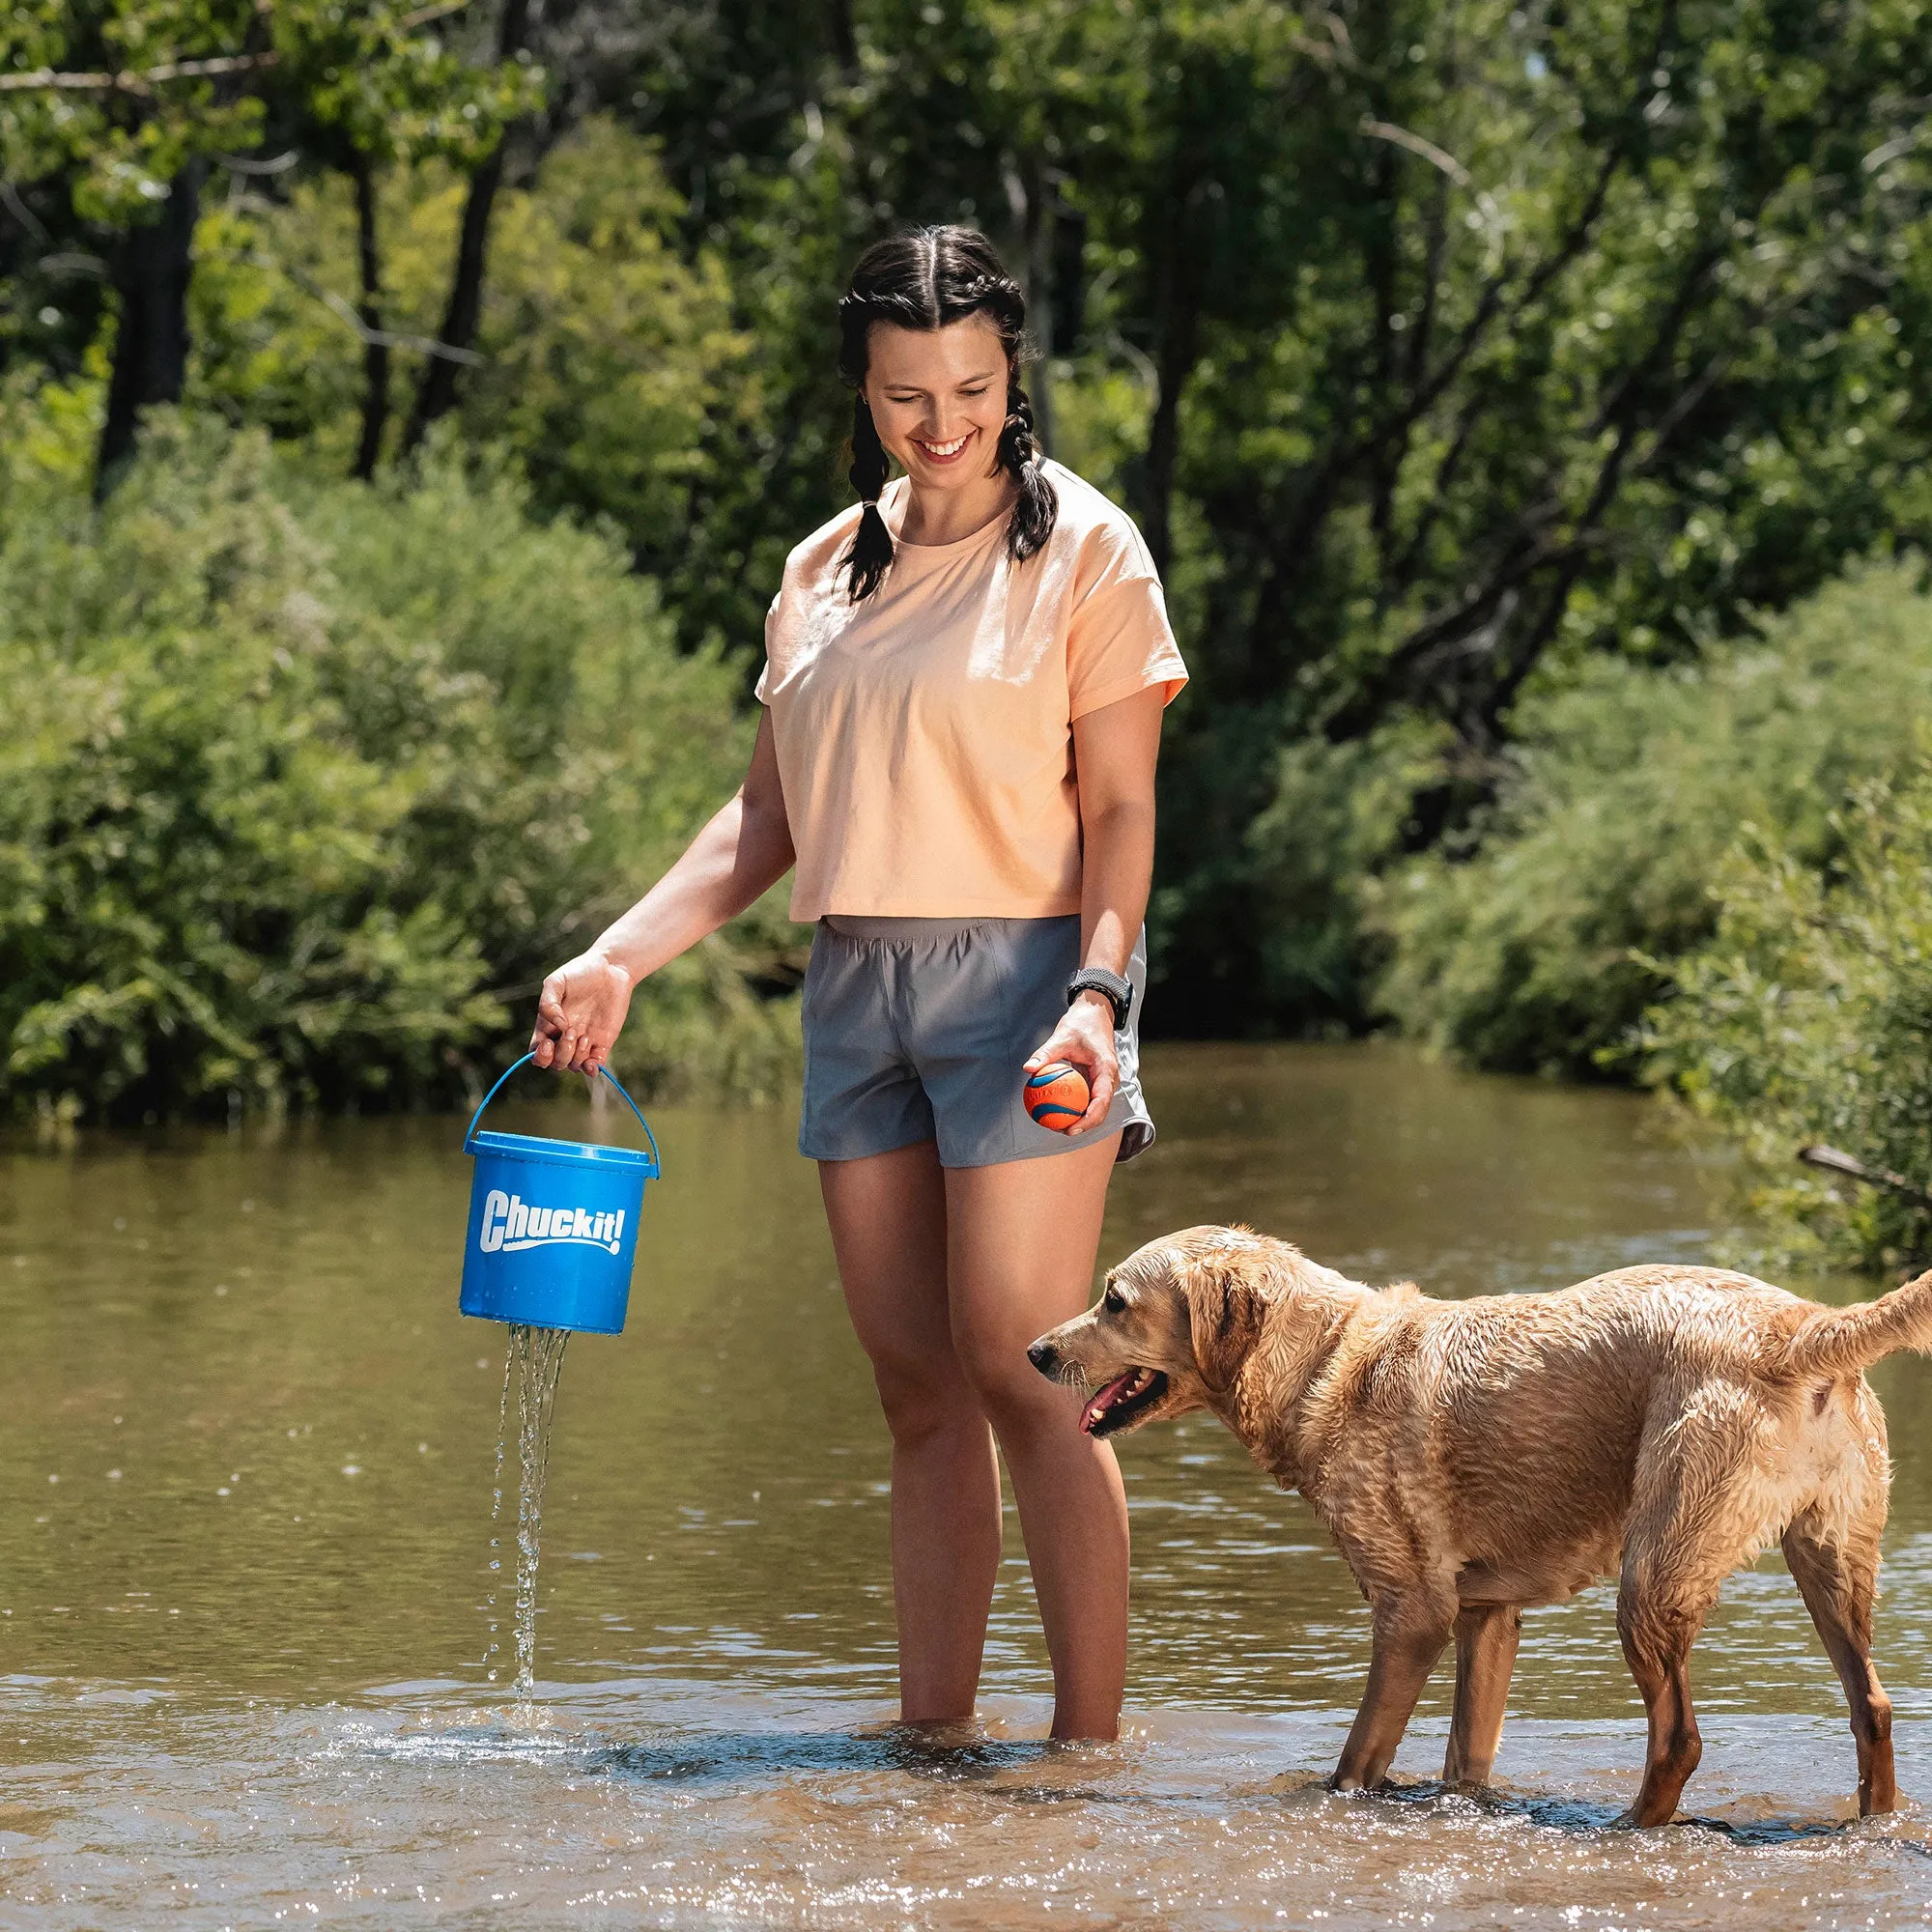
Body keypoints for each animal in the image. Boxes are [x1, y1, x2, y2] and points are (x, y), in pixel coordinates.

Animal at [1028, 1221, 1932, 1824]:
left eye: (1114, 1300)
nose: (1035, 1351)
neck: (1323, 1362)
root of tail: (1800, 1327)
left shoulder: (1413, 1613)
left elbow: (1358, 1758)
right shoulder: (1487, 1615)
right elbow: (1467, 1756)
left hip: (1654, 1577)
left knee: (1680, 1739)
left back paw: (1627, 1829)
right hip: (1831, 1564)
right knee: (1874, 1707)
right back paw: (1873, 1823)